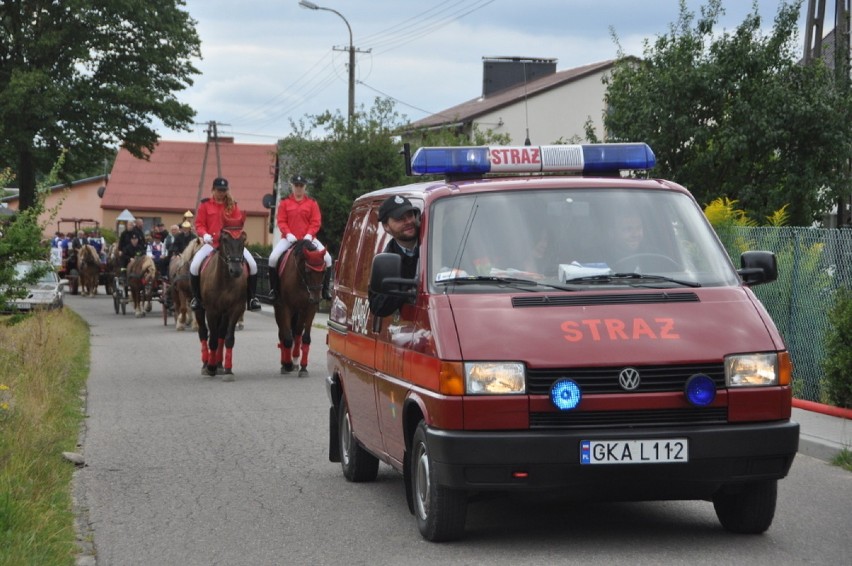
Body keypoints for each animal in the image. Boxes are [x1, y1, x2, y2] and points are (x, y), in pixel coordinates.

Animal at [199, 229, 250, 380]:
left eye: (243, 241)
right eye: (225, 240)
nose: (236, 270)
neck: (225, 280)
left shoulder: (234, 309)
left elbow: (228, 338)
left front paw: (228, 370)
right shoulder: (211, 311)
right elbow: (212, 339)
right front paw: (210, 368)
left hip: (224, 313)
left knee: (221, 333)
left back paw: (219, 365)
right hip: (200, 309)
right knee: (203, 332)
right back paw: (206, 364)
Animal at [272, 240, 326, 378]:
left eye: (323, 272)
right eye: (308, 271)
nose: (316, 299)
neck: (301, 280)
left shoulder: (309, 308)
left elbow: (305, 337)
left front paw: (303, 367)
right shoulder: (285, 307)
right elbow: (287, 338)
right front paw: (287, 364)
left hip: (300, 312)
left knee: (297, 333)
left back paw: (296, 360)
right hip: (280, 310)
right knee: (282, 334)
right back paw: (285, 364)